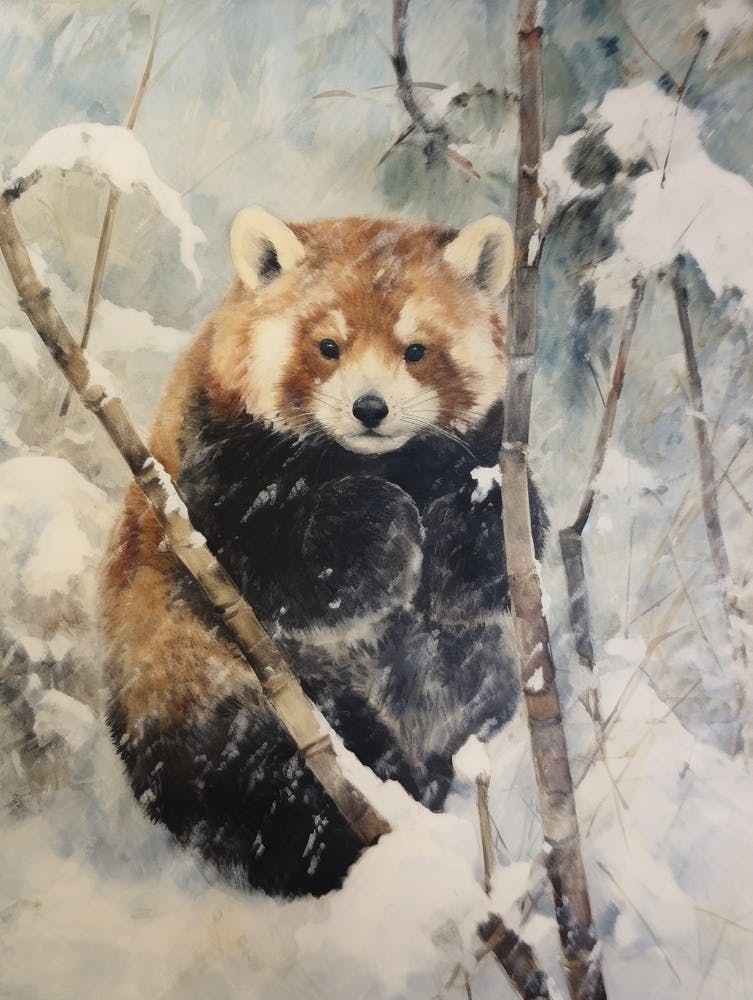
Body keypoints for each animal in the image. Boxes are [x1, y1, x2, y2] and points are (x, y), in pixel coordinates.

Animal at [102, 208, 547, 898]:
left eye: (415, 350)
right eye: (328, 346)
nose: (370, 408)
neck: (378, 461)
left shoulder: (479, 447)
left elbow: (486, 577)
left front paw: (470, 519)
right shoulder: (212, 477)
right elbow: (280, 573)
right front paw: (383, 523)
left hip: (470, 678)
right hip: (202, 681)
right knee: (270, 777)